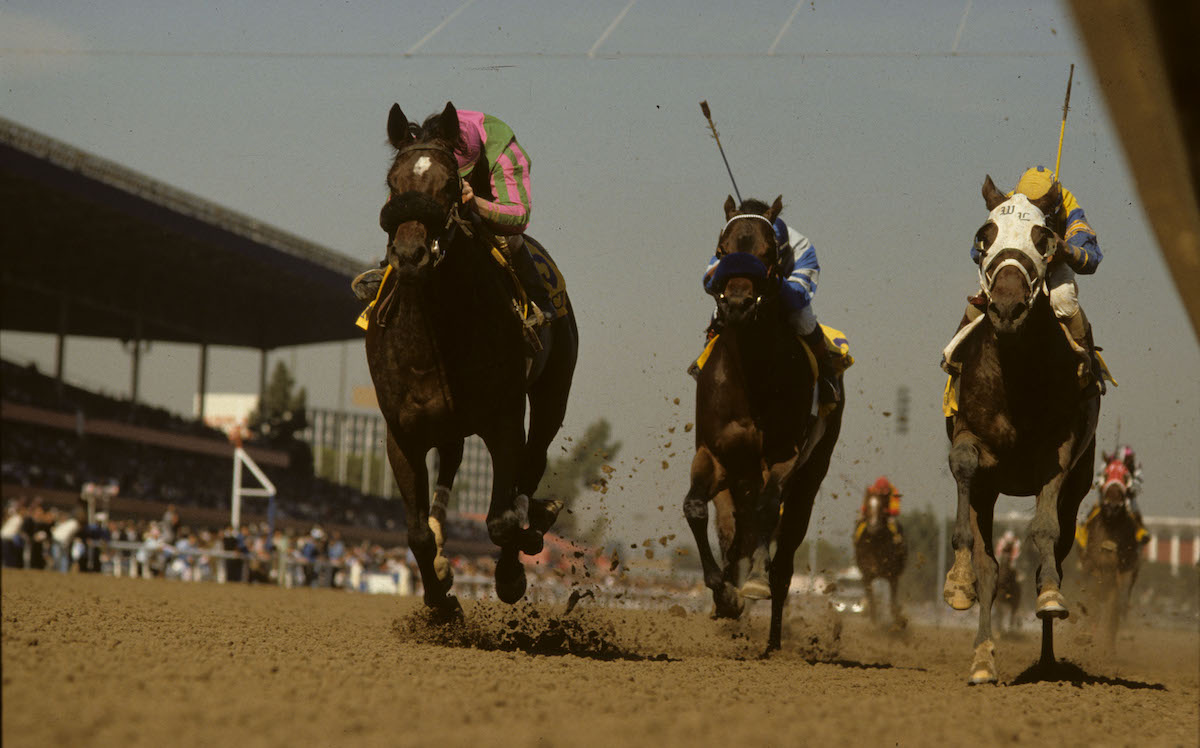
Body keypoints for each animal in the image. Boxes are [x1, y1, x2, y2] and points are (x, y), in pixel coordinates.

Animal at [362, 102, 578, 619]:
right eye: (393, 182)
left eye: (446, 185)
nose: (410, 254)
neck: (434, 337)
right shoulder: (402, 432)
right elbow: (416, 532)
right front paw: (441, 598)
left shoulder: (503, 422)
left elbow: (500, 520)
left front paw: (511, 574)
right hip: (447, 425)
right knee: (452, 470)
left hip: (552, 394)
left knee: (534, 459)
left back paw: (535, 519)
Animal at [686, 194, 844, 653]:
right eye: (721, 251)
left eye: (768, 255)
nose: (736, 305)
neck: (751, 375)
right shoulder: (713, 454)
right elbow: (696, 508)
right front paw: (724, 595)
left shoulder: (783, 456)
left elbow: (766, 514)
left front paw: (750, 585)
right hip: (739, 477)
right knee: (735, 533)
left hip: (810, 477)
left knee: (783, 554)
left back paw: (773, 639)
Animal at [854, 489, 907, 629]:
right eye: (867, 506)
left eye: (883, 507)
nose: (873, 527)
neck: (876, 544)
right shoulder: (867, 574)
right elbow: (871, 600)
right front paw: (873, 623)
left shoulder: (892, 575)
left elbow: (893, 601)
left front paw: (899, 621)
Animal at [940, 175, 1099, 686]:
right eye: (985, 235)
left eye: (1043, 237)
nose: (1006, 307)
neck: (1016, 371)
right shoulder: (973, 442)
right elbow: (964, 467)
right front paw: (957, 581)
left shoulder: (1060, 449)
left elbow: (1044, 530)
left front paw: (1049, 597)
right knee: (991, 570)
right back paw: (982, 658)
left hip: (1079, 486)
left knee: (1058, 553)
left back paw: (1047, 659)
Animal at [1080, 453, 1142, 653]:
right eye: (1106, 474)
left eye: (1126, 476)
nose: (1113, 506)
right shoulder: (1093, 566)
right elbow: (1092, 598)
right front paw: (1086, 635)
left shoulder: (1126, 567)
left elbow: (1117, 603)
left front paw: (1110, 644)